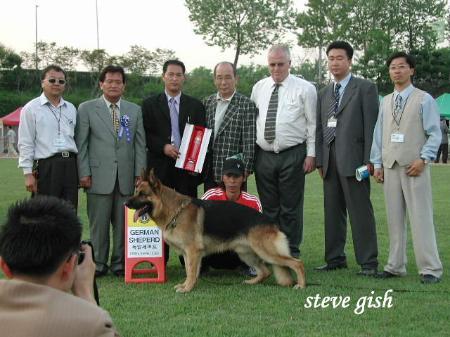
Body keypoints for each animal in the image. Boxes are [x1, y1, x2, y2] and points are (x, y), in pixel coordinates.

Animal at [126, 171, 306, 292]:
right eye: (135, 192)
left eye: (142, 194)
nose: (125, 203)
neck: (175, 211)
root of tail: (272, 222)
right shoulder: (187, 253)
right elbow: (189, 271)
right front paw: (186, 285)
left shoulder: (193, 252)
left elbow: (191, 272)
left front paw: (187, 288)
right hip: (246, 254)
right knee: (266, 271)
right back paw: (252, 282)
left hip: (266, 252)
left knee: (297, 263)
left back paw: (301, 285)